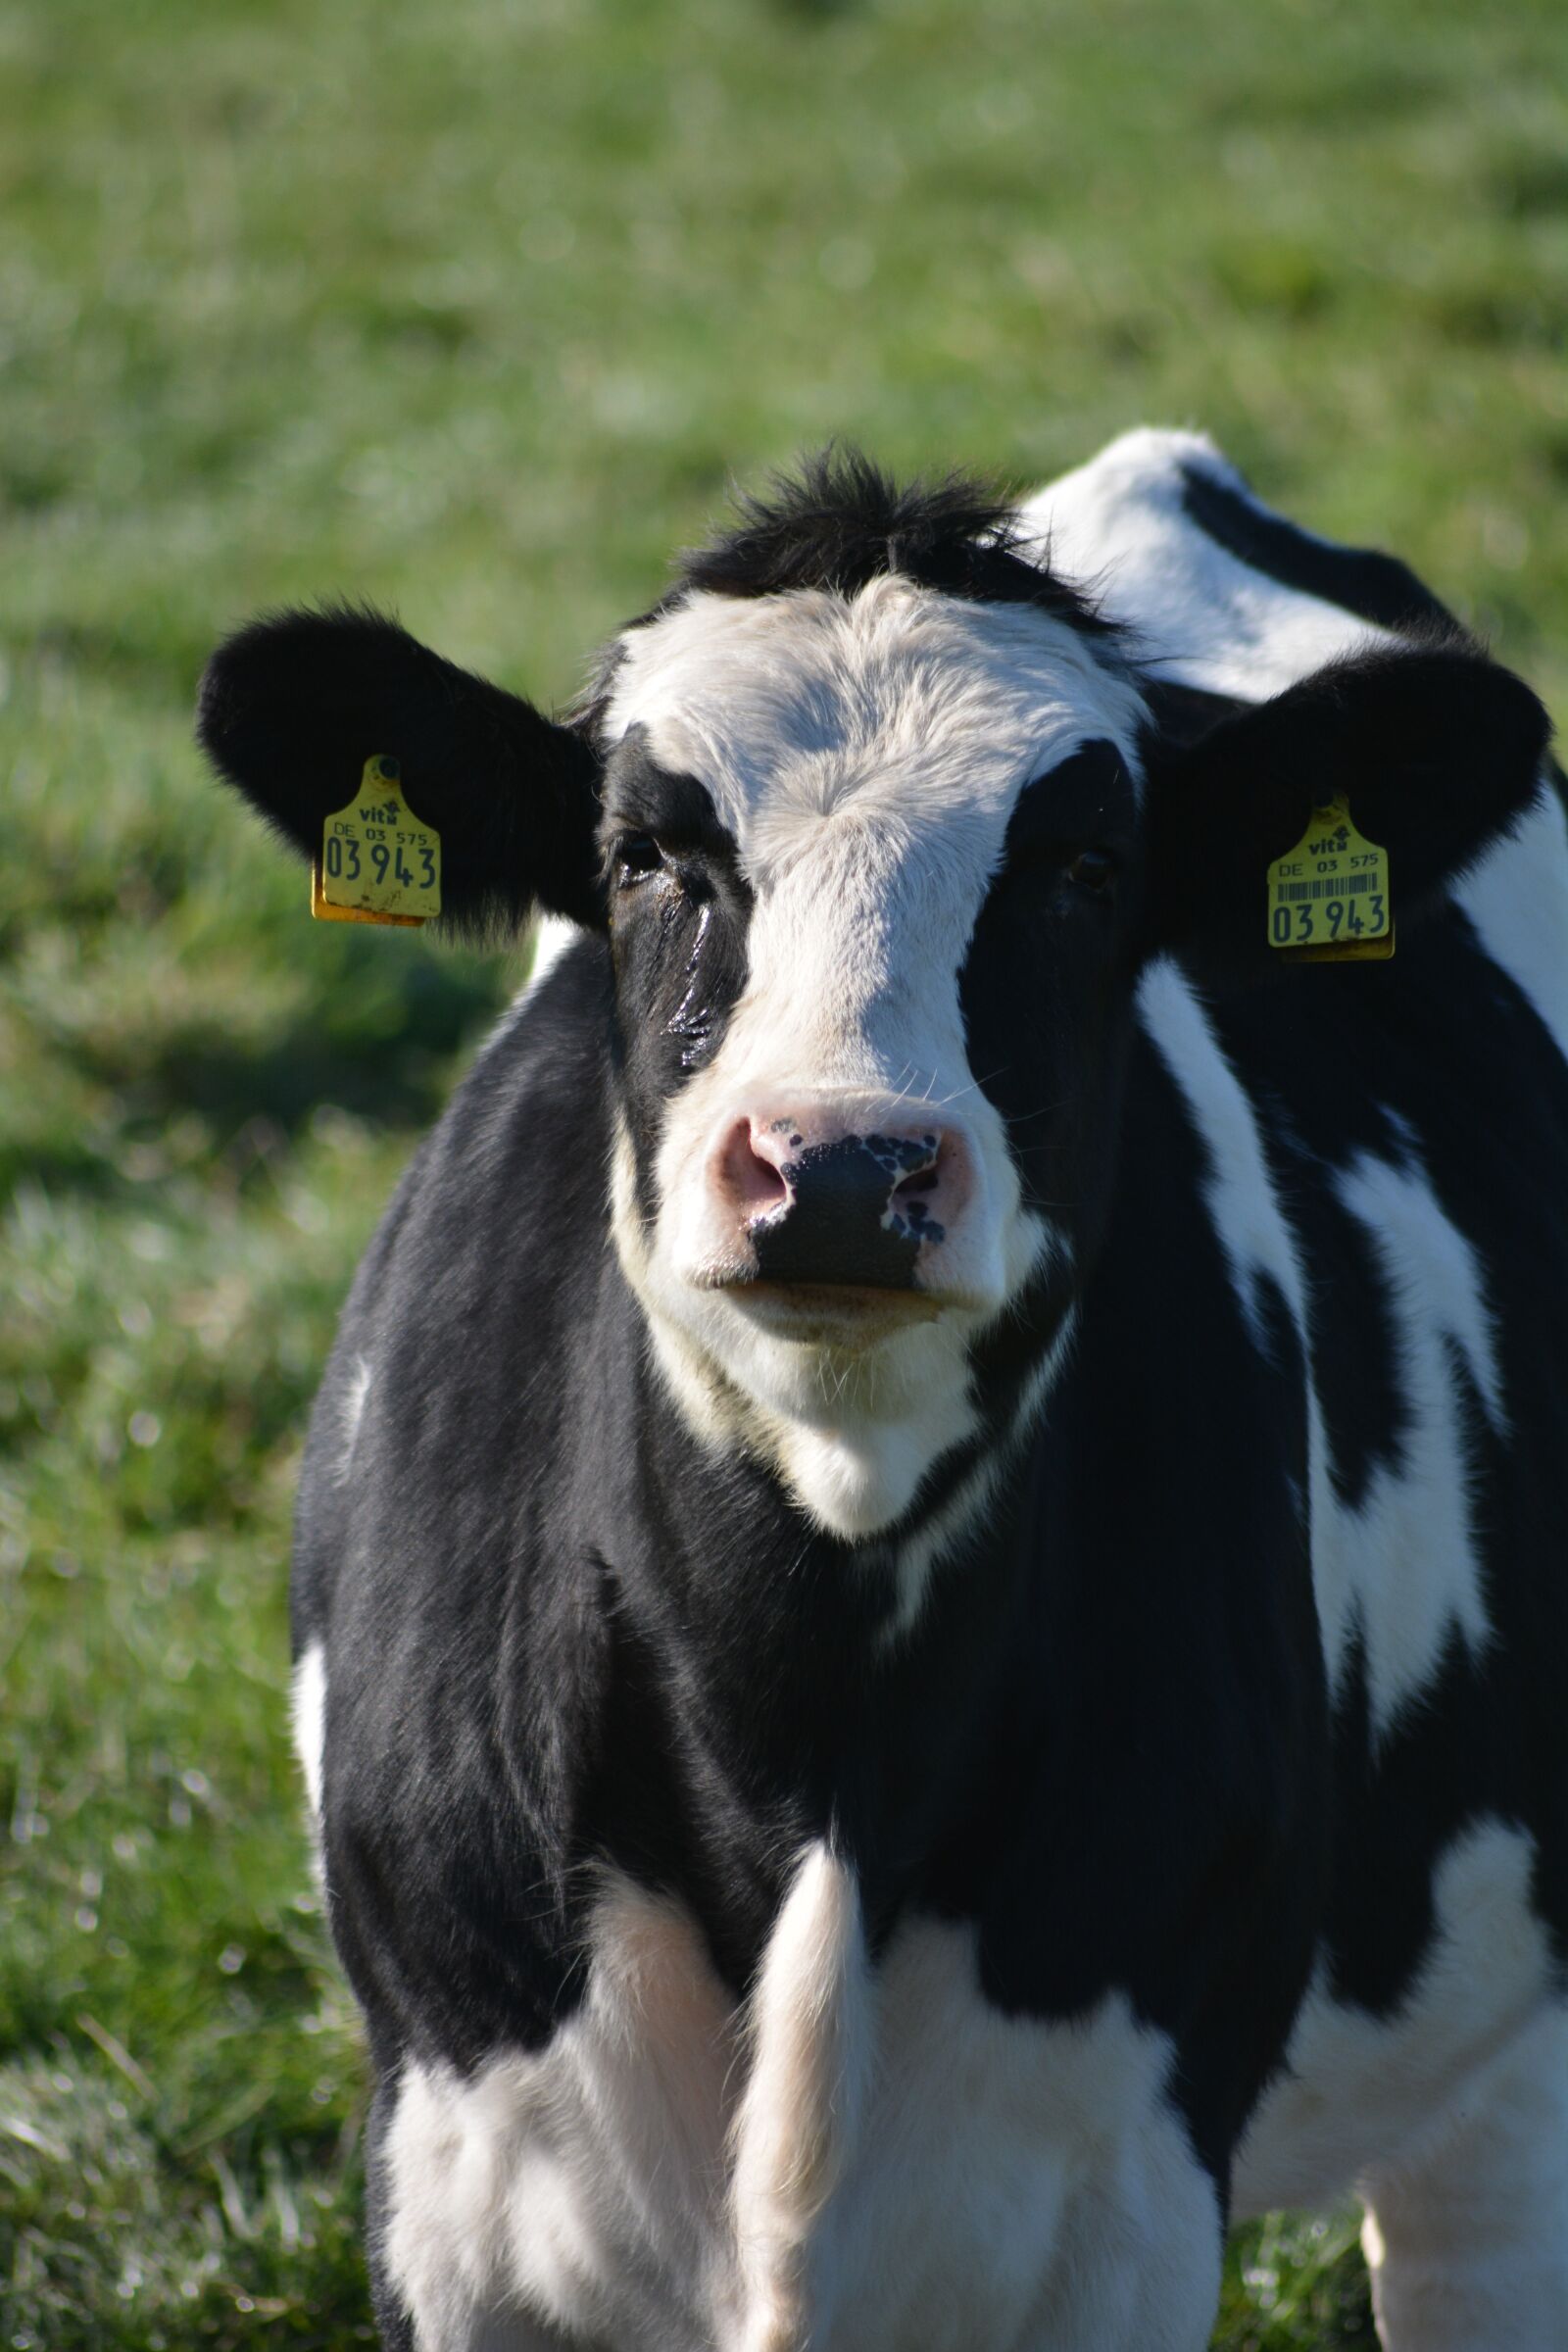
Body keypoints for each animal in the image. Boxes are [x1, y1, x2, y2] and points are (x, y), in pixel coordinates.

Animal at [197, 428, 1568, 2352]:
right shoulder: (458, 2193)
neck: (810, 1737)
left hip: (1506, 2074)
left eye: (1087, 866)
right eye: (646, 853)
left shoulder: (1120, 2211)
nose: (842, 1167)